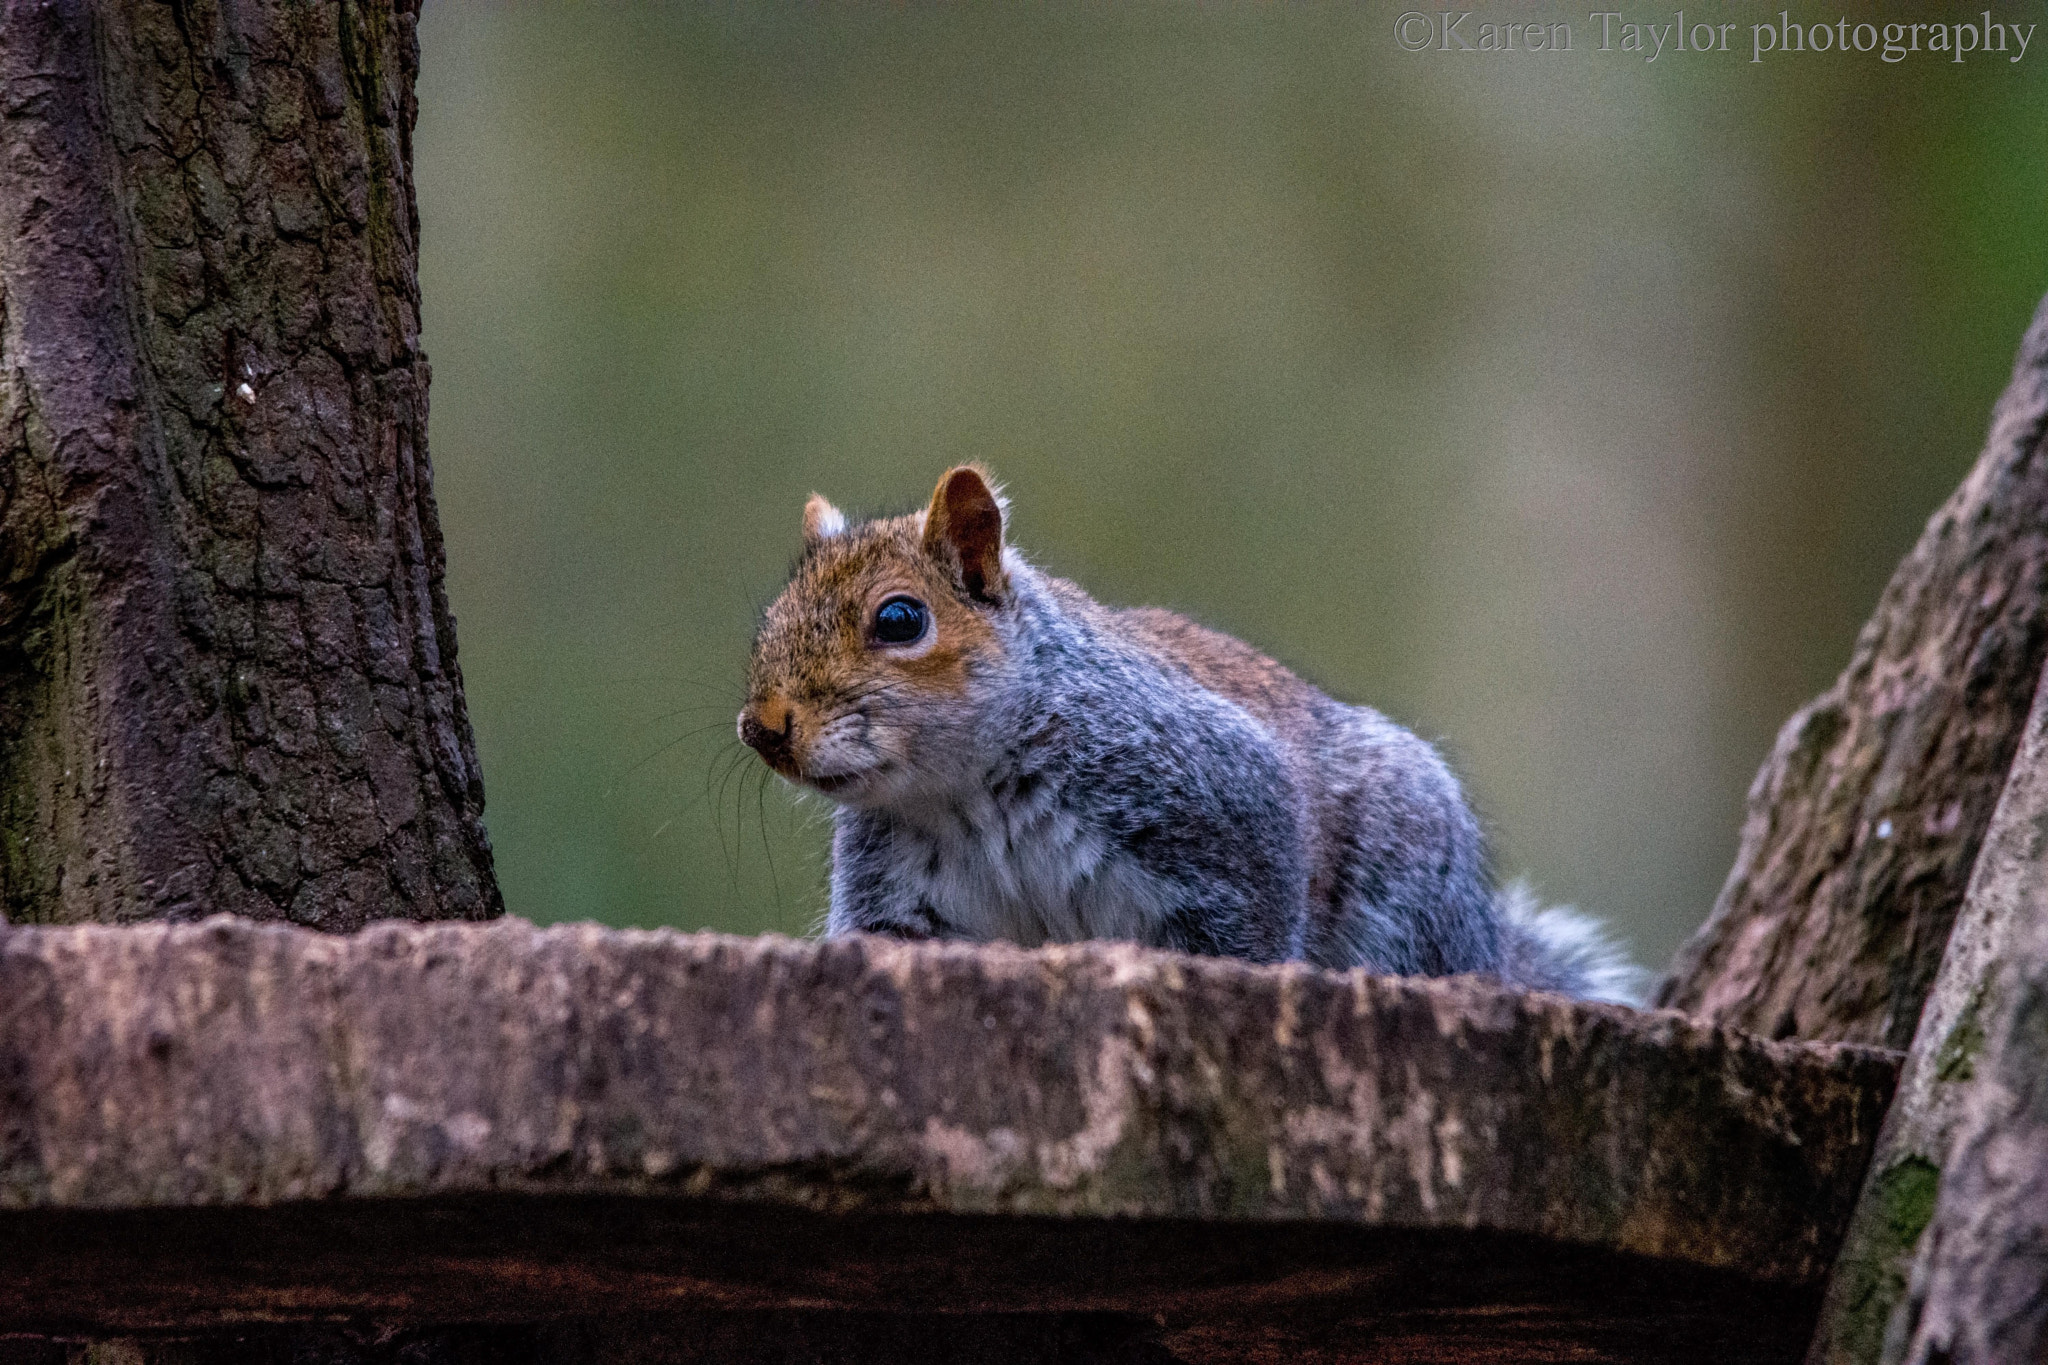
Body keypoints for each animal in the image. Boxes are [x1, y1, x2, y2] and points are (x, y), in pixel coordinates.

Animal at [737, 464, 1646, 998]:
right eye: (770, 618)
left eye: (900, 619)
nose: (762, 726)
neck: (967, 791)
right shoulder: (895, 894)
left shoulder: (1216, 802)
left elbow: (1249, 932)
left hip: (1407, 892)